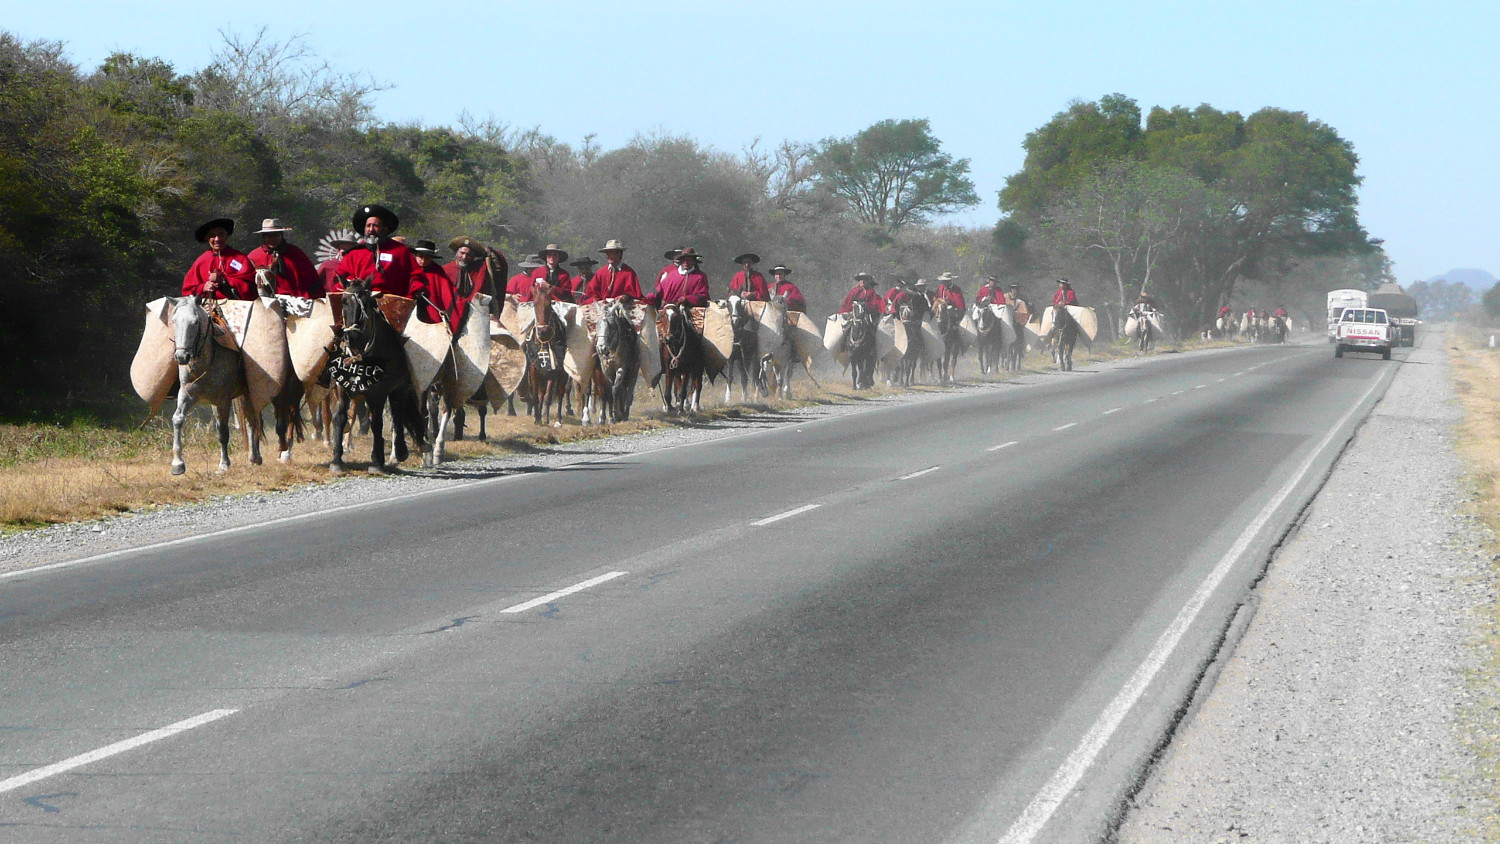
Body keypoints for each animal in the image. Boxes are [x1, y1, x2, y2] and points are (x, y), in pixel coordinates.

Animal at [327, 278, 423, 473]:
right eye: (344, 301)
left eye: (366, 302)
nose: (352, 336)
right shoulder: (341, 388)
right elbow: (340, 418)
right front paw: (336, 460)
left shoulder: (378, 392)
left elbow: (377, 423)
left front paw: (378, 462)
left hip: (399, 388)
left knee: (397, 415)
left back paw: (399, 451)